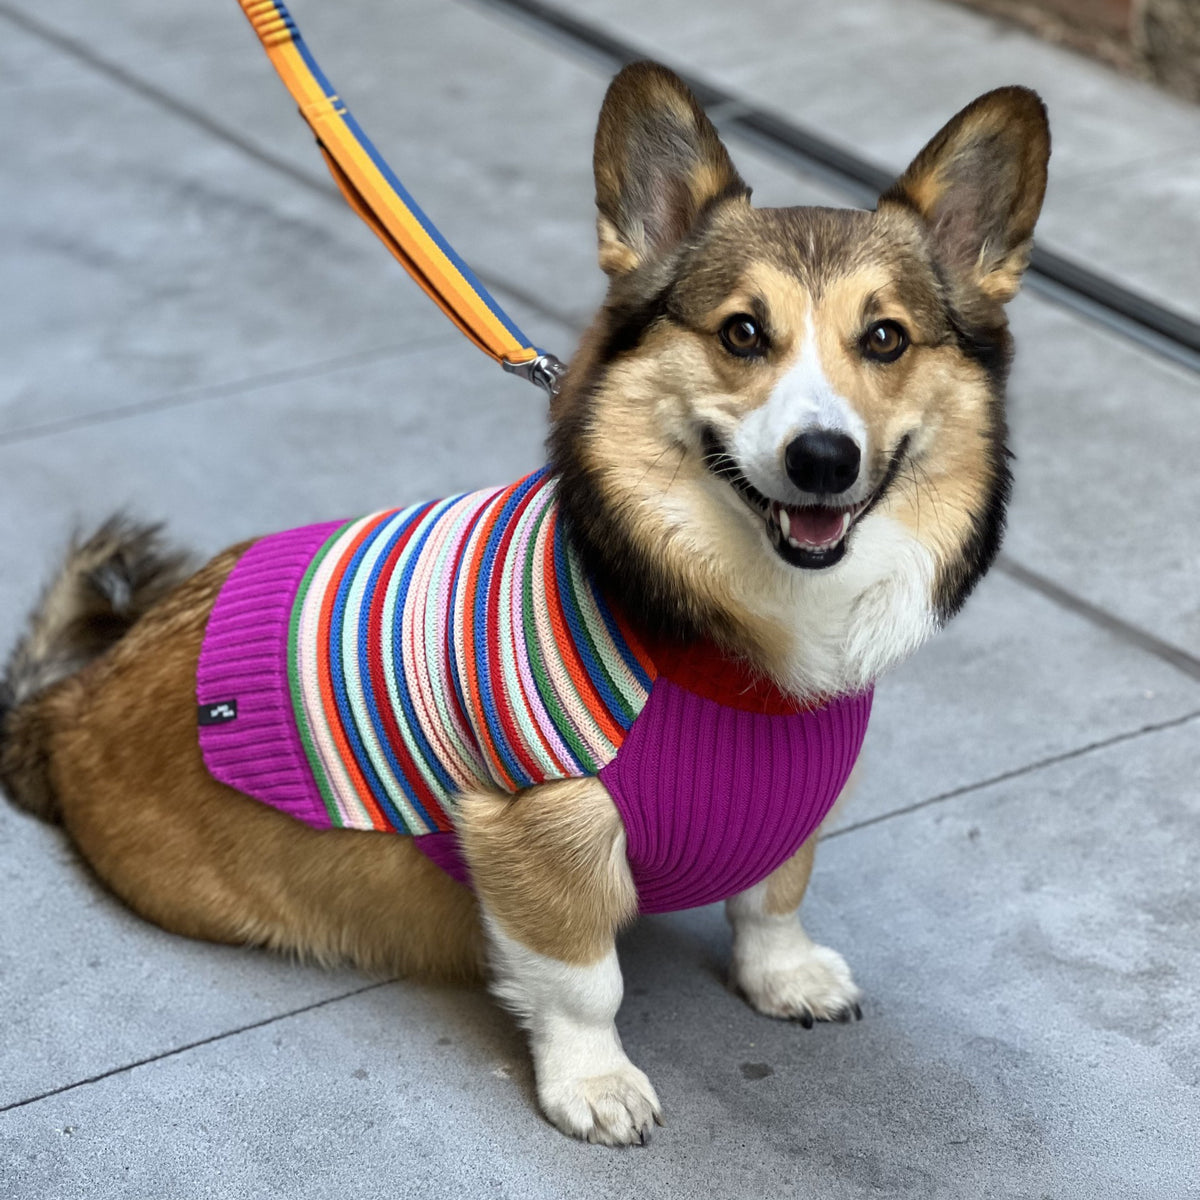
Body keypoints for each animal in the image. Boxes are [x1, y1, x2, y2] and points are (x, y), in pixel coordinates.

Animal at [0, 63, 1046, 1142]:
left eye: (885, 338)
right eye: (742, 333)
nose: (824, 459)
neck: (721, 629)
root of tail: (61, 703)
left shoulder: (788, 813)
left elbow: (774, 899)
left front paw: (785, 977)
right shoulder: (538, 827)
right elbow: (586, 980)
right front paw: (594, 1083)